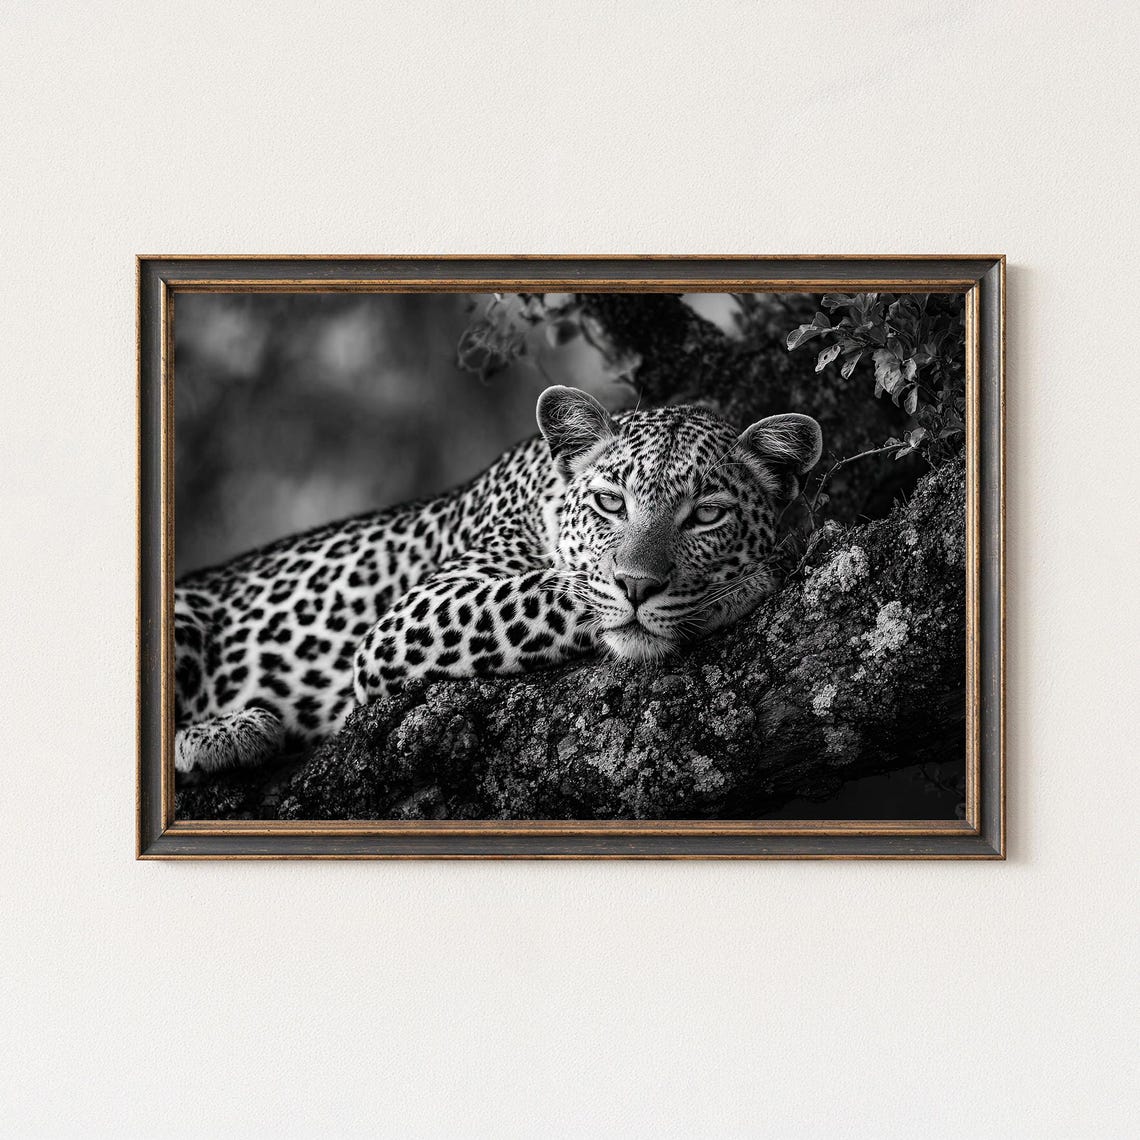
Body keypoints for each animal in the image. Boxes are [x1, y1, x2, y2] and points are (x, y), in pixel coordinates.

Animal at [173, 385, 822, 772]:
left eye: (707, 516)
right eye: (611, 503)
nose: (638, 586)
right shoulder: (408, 618)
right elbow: (559, 591)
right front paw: (738, 588)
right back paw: (227, 733)